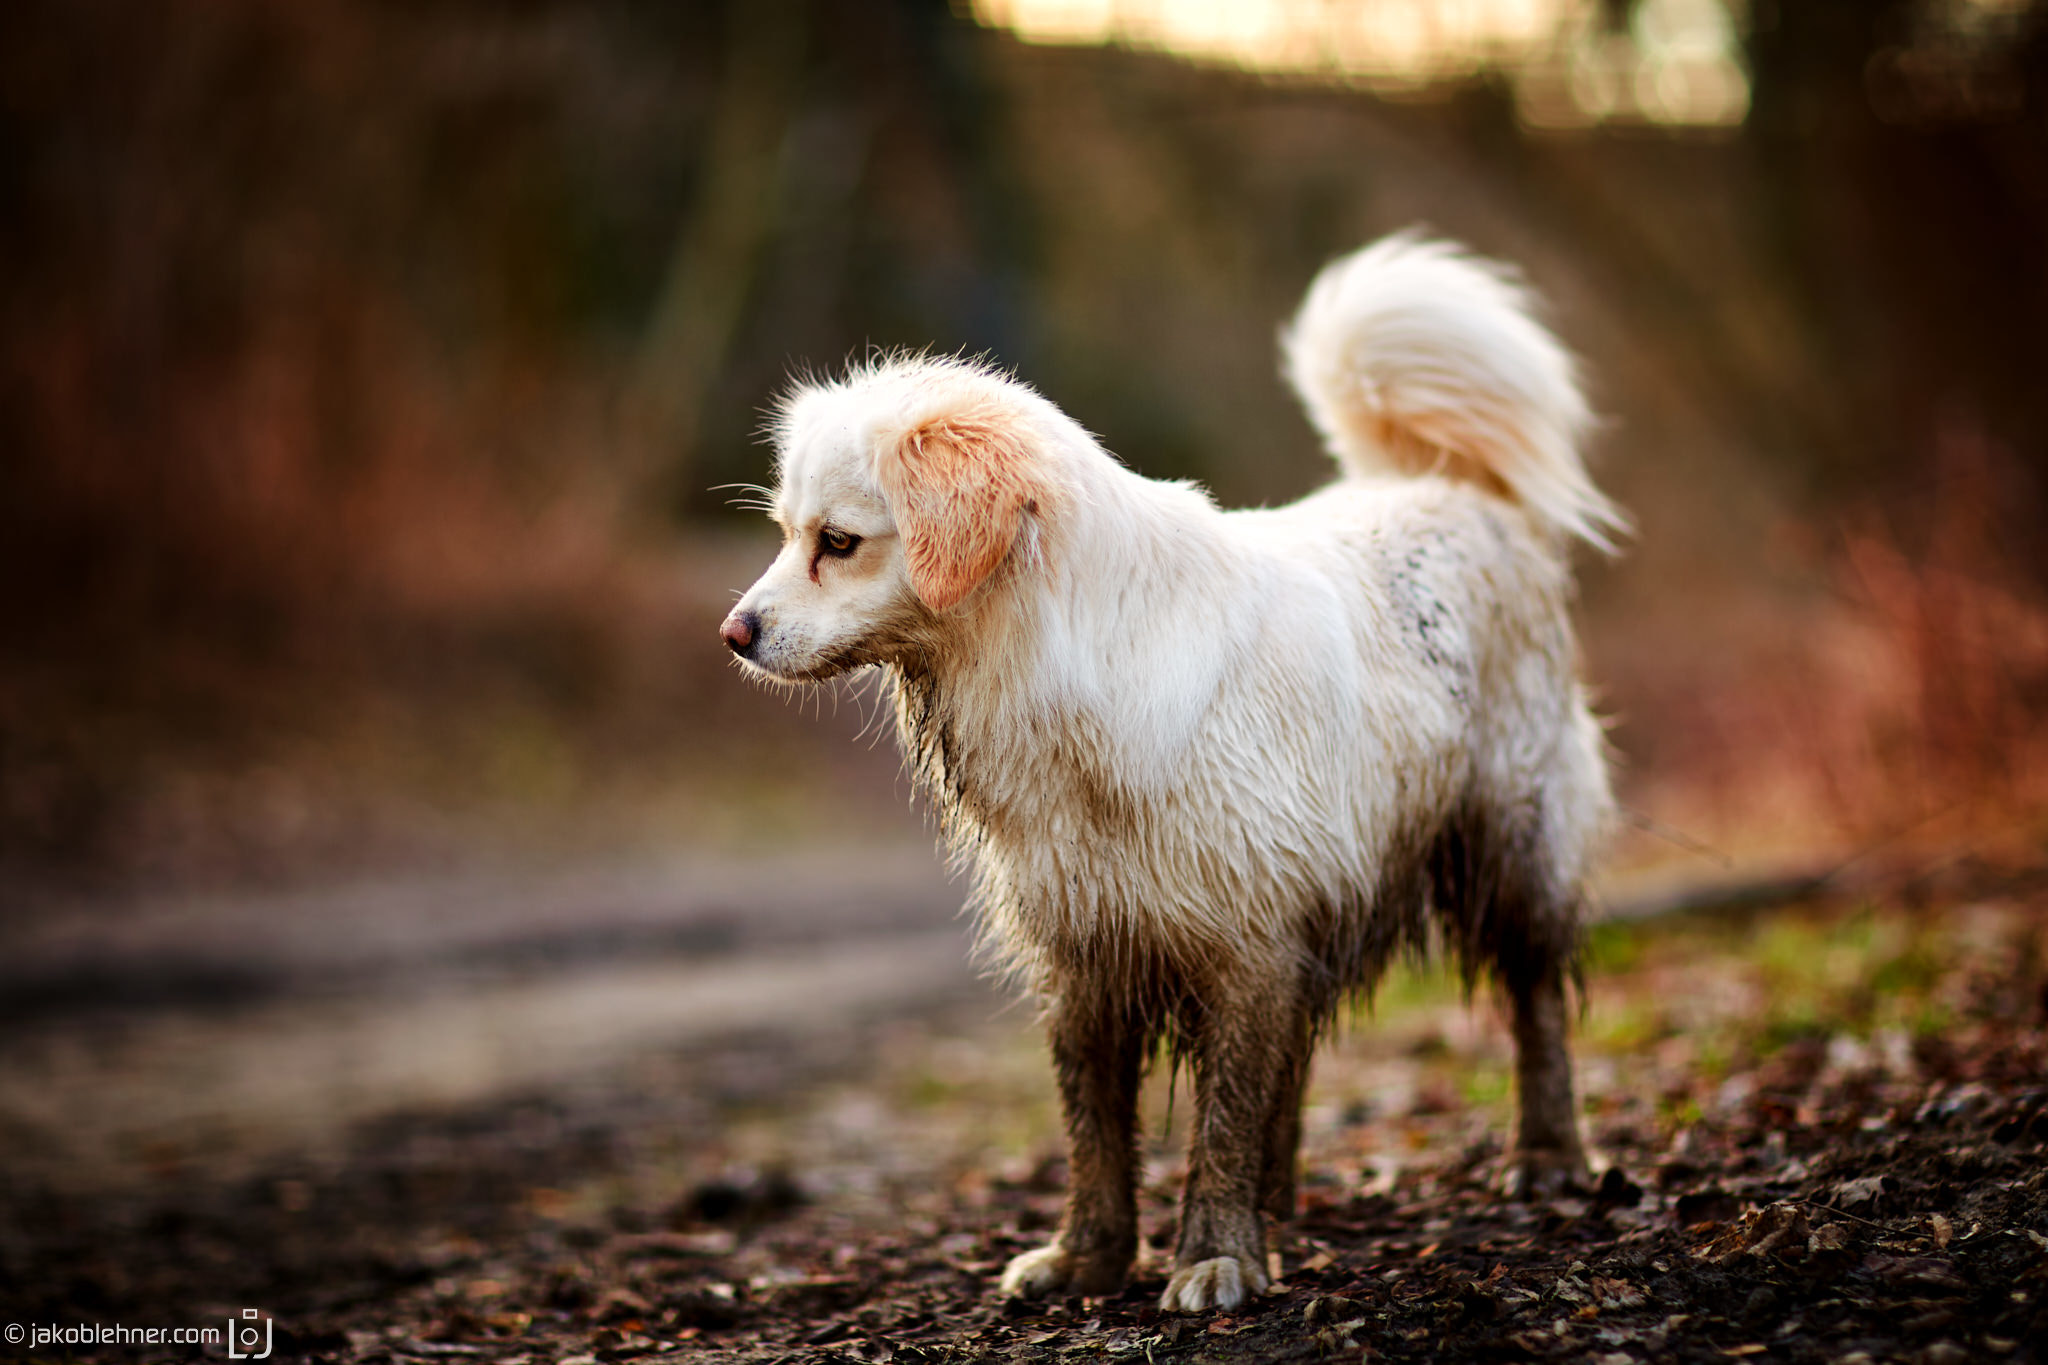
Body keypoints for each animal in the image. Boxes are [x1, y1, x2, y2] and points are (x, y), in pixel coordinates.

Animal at [729, 235, 1622, 1309]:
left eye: (838, 542)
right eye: (787, 533)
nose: (733, 632)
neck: (1062, 670)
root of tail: (1442, 480)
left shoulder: (1250, 936)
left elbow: (1224, 1115)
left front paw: (1216, 1255)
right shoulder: (1086, 947)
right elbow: (1095, 1124)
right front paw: (1089, 1254)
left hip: (1514, 840)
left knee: (1535, 998)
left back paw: (1550, 1155)